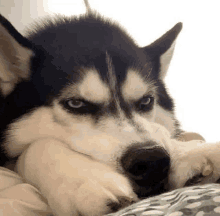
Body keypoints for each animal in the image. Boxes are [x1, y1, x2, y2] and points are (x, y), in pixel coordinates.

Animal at [0, 1, 219, 216]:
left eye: (146, 101)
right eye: (76, 103)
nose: (150, 161)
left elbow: (161, 132)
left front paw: (190, 152)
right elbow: (39, 146)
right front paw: (85, 180)